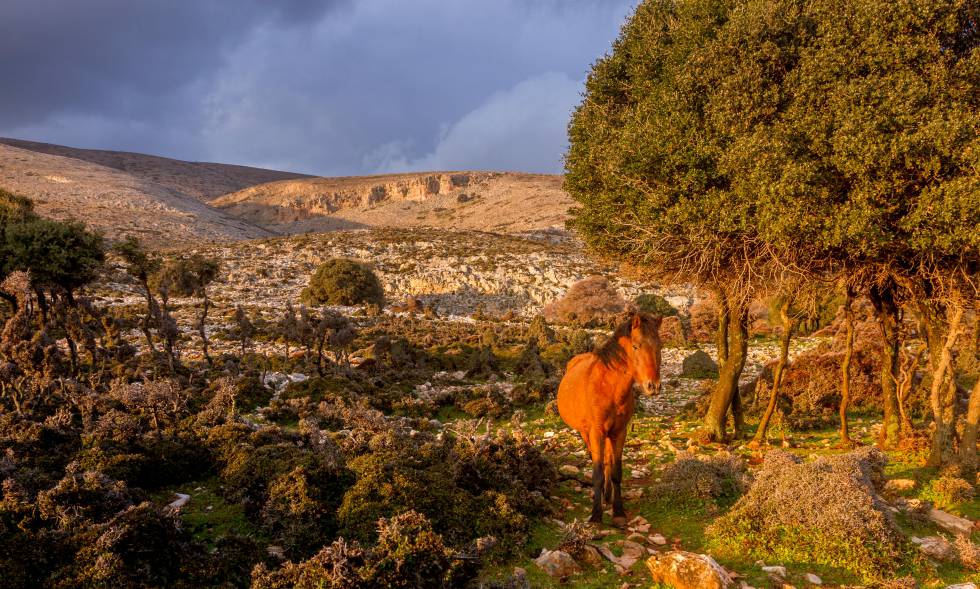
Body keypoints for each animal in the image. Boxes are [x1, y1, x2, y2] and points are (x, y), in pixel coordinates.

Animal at [557, 312, 663, 526]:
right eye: (636, 346)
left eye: (660, 346)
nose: (653, 386)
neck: (609, 387)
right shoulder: (596, 431)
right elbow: (597, 471)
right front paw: (596, 515)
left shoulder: (619, 432)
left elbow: (615, 471)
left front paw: (618, 512)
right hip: (586, 433)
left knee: (607, 461)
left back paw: (607, 496)